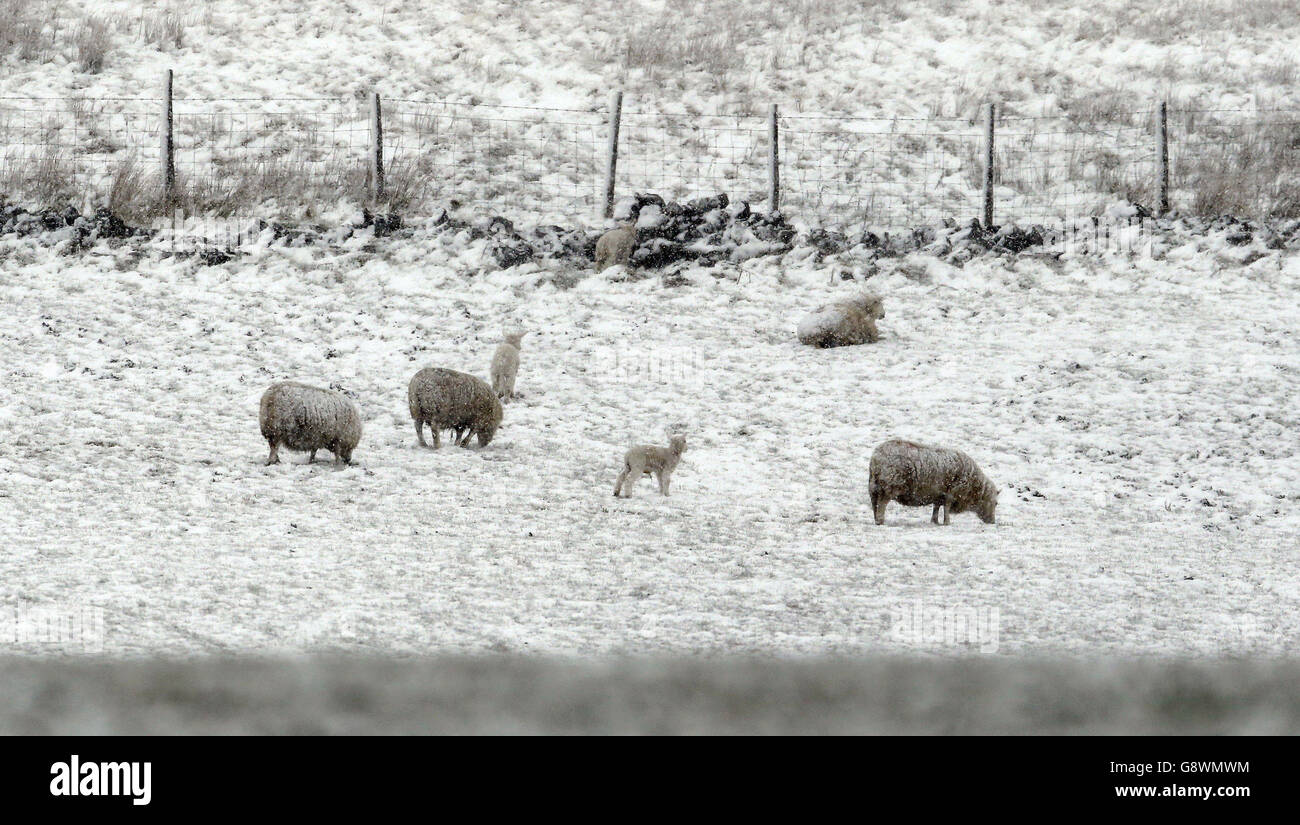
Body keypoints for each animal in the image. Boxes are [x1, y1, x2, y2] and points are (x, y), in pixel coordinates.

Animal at [868, 441, 998, 524]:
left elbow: (936, 507)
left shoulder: (939, 494)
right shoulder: (951, 493)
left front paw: (935, 521)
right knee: (882, 503)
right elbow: (946, 508)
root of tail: (876, 457)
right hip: (890, 486)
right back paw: (880, 521)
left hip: (873, 486)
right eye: (996, 503)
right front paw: (947, 522)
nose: (992, 522)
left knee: (875, 504)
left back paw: (876, 519)